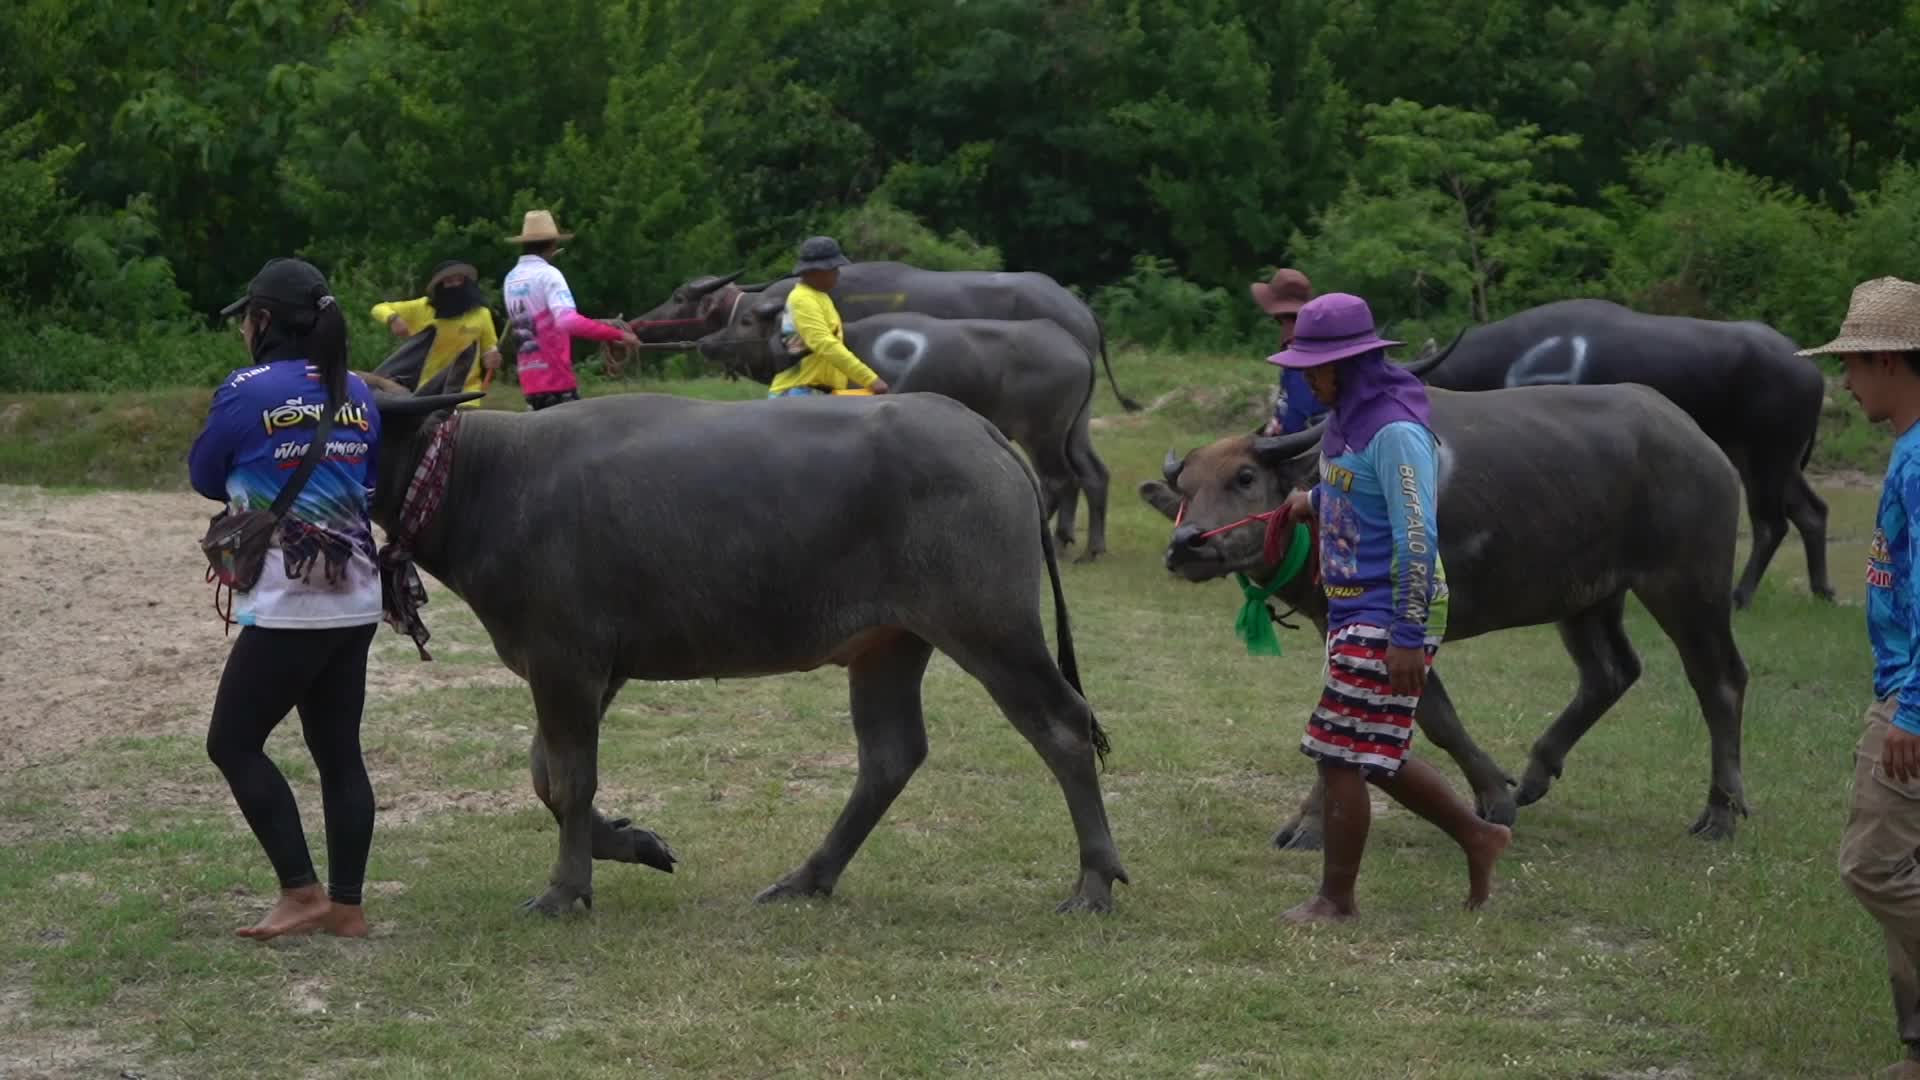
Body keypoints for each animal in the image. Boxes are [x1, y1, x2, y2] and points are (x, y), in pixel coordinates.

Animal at [361, 367, 1129, 915]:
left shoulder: (566, 663)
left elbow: (571, 778)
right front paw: (636, 843)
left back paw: (1094, 881)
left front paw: (565, 889)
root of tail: (984, 433)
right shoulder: (592, 669)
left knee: (1062, 727)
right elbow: (545, 774)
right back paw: (807, 878)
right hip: (891, 643)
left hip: (990, 628)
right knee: (890, 755)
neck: (484, 482)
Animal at [1143, 383, 1751, 845]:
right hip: (1587, 597)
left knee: (1719, 680)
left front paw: (1317, 824)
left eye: (1244, 478)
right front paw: (1498, 794)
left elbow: (1397, 720)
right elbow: (1394, 718)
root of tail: (1702, 443)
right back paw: (1536, 774)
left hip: (1687, 584)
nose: (1186, 544)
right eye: (1186, 489)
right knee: (1611, 672)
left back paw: (1721, 813)